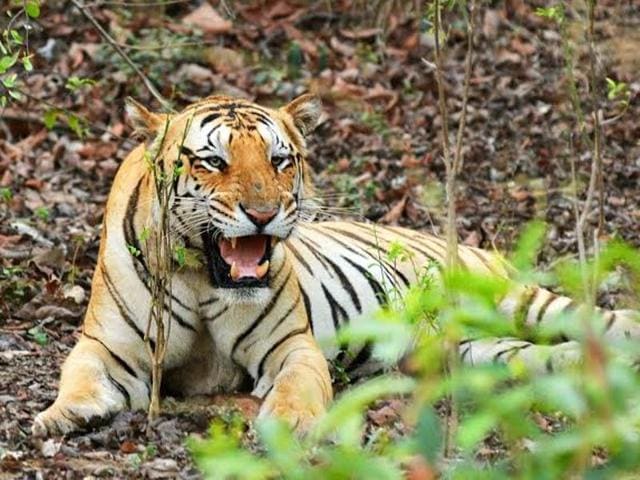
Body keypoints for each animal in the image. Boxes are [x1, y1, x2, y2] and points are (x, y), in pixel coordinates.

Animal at [32, 94, 640, 436]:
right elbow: (79, 374)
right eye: (213, 161)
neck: (203, 276)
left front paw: (292, 423)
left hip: (518, 302)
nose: (263, 213)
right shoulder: (109, 346)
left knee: (605, 322)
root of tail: (479, 249)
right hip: (481, 352)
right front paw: (65, 414)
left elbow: (300, 384)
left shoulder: (290, 345)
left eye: (279, 160)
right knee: (556, 356)